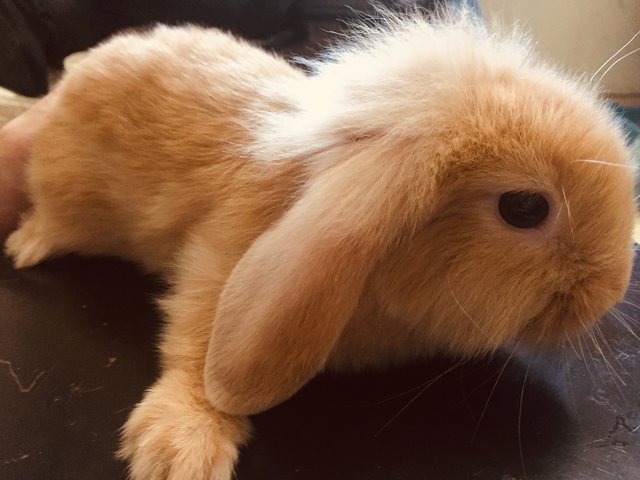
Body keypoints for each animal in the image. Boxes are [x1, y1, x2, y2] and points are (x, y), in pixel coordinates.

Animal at [3, 4, 636, 480]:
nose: (610, 289)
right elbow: (198, 344)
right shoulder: (220, 257)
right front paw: (180, 449)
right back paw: (30, 242)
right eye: (525, 208)